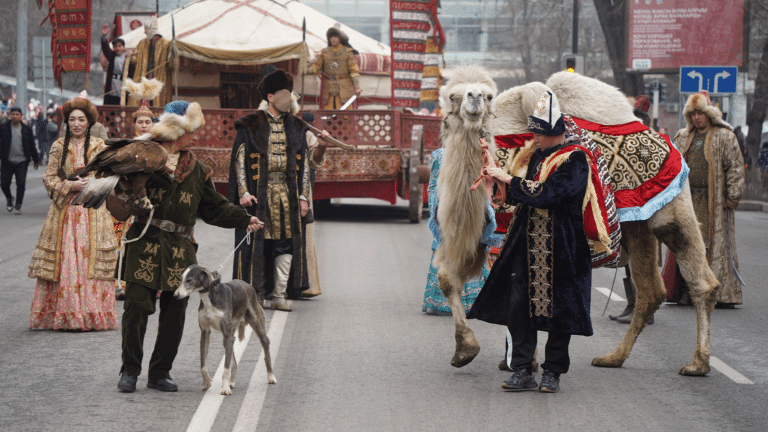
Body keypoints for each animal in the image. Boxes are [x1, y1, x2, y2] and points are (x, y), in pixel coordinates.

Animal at [173, 264, 276, 394]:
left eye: (189, 280)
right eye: (181, 279)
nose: (175, 295)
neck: (210, 295)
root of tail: (248, 285)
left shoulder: (227, 335)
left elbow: (226, 368)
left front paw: (225, 388)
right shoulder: (205, 333)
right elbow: (203, 365)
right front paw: (207, 382)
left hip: (257, 329)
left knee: (266, 350)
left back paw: (271, 376)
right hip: (228, 338)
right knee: (234, 362)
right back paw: (232, 382)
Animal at [492, 73, 720, 374]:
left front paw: (519, 361)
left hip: (672, 214)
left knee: (701, 283)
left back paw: (697, 363)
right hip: (639, 228)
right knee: (651, 291)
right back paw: (614, 357)